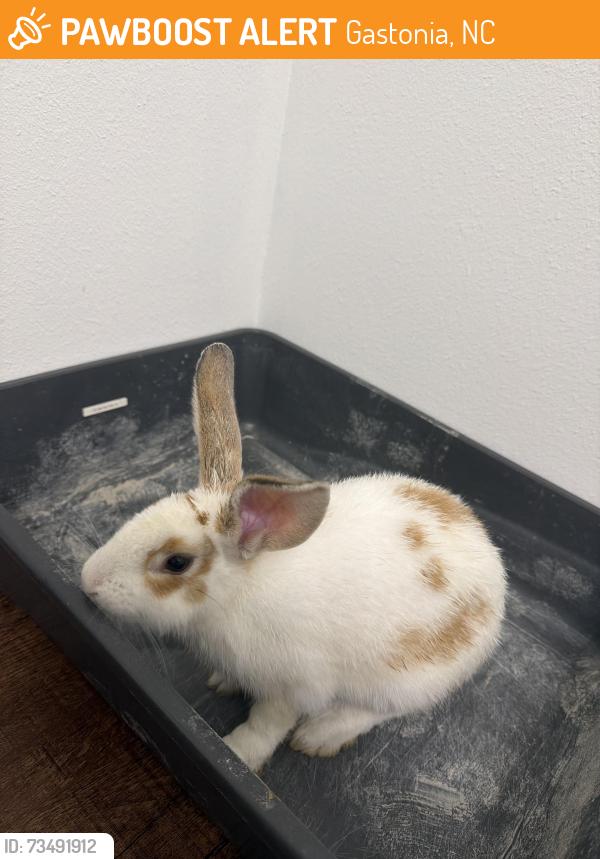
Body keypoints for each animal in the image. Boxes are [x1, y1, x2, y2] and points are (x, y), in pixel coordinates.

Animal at [81, 342, 506, 771]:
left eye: (176, 563)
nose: (87, 581)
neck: (236, 594)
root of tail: (492, 561)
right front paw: (222, 682)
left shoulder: (292, 687)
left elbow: (266, 723)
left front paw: (240, 752)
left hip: (405, 681)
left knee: (379, 710)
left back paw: (319, 736)